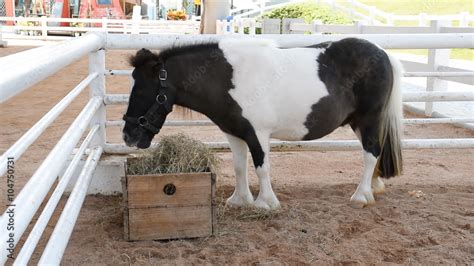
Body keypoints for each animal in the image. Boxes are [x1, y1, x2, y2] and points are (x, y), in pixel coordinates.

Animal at [123, 38, 404, 211]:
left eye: (141, 90)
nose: (128, 136)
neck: (228, 78)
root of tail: (383, 53)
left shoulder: (258, 133)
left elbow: (262, 167)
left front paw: (266, 203)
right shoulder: (233, 132)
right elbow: (239, 166)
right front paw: (240, 200)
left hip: (369, 118)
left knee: (370, 154)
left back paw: (361, 196)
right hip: (358, 123)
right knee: (374, 152)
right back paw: (374, 188)